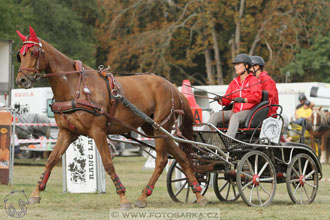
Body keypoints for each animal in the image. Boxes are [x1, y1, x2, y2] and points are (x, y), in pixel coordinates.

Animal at [16, 26, 208, 209]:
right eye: (20, 55)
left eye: (33, 52)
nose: (21, 80)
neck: (75, 87)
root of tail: (172, 87)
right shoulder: (67, 132)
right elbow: (51, 160)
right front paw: (35, 194)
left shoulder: (98, 131)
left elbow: (108, 163)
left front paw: (123, 198)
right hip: (153, 128)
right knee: (182, 157)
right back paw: (198, 193)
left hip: (161, 127)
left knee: (161, 160)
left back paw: (144, 196)